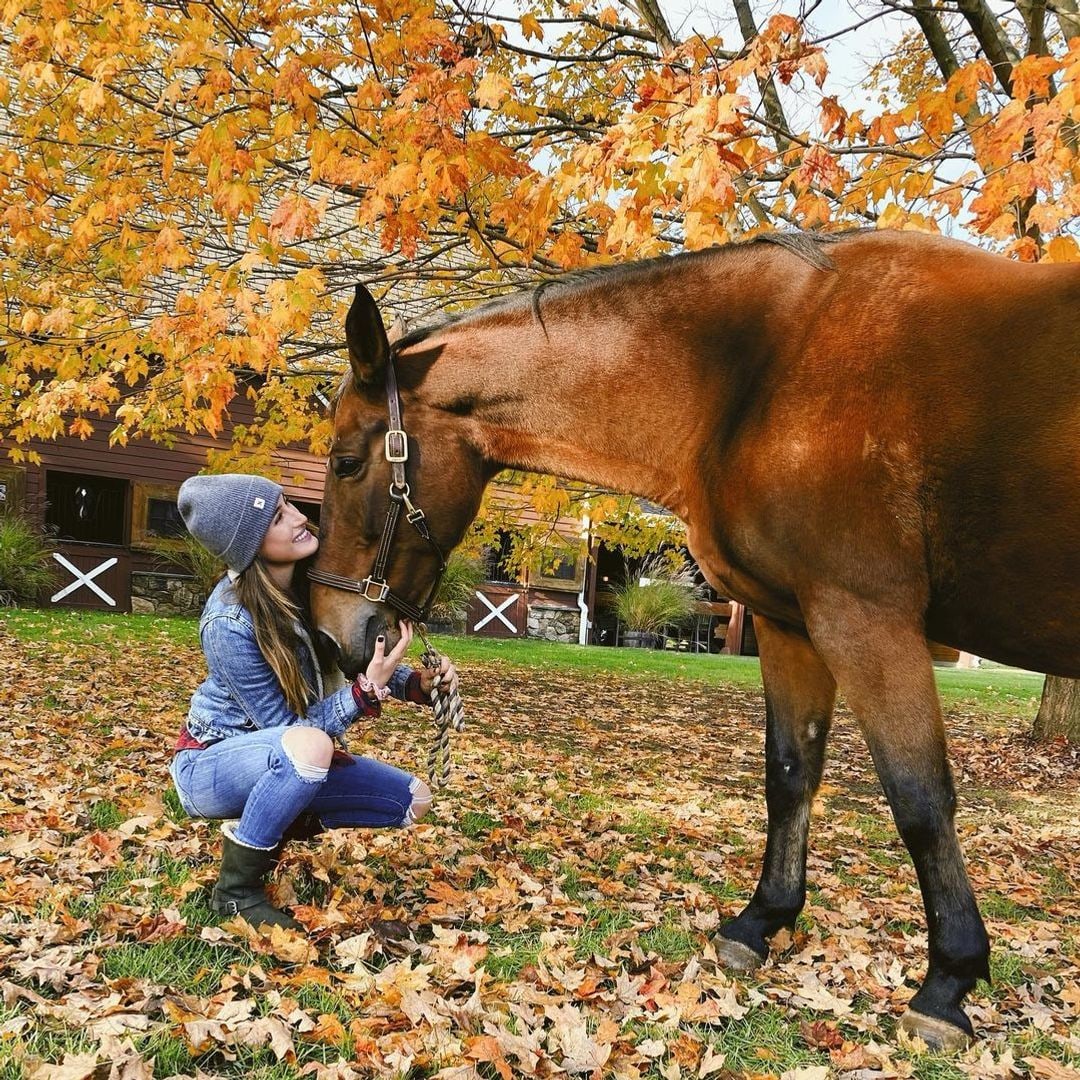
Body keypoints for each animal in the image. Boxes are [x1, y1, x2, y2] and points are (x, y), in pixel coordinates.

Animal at [311, 232, 1080, 1049]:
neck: (761, 370)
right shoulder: (791, 623)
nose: (332, 631)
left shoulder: (866, 619)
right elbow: (790, 775)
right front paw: (760, 922)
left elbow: (921, 802)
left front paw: (947, 982)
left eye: (347, 461)